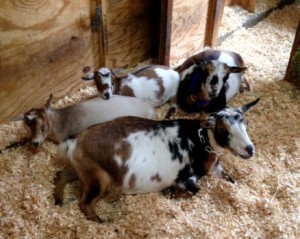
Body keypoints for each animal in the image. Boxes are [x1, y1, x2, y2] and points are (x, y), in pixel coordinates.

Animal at [52, 97, 258, 222]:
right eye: (224, 130)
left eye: (246, 124)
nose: (249, 150)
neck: (201, 140)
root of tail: (76, 140)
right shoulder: (186, 180)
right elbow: (195, 191)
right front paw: (168, 193)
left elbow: (230, 179)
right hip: (98, 179)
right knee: (85, 203)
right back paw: (102, 221)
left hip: (84, 170)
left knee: (61, 174)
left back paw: (58, 199)